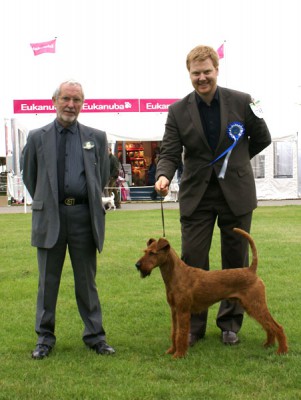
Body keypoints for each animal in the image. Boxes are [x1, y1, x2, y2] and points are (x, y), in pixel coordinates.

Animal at [135, 228, 288, 360]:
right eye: (145, 251)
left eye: (152, 253)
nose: (137, 265)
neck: (176, 275)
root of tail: (251, 270)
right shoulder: (174, 310)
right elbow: (174, 332)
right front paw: (171, 350)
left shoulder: (183, 311)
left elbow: (181, 333)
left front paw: (179, 355)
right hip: (252, 306)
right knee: (268, 325)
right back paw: (268, 344)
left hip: (255, 304)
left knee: (277, 326)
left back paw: (282, 351)